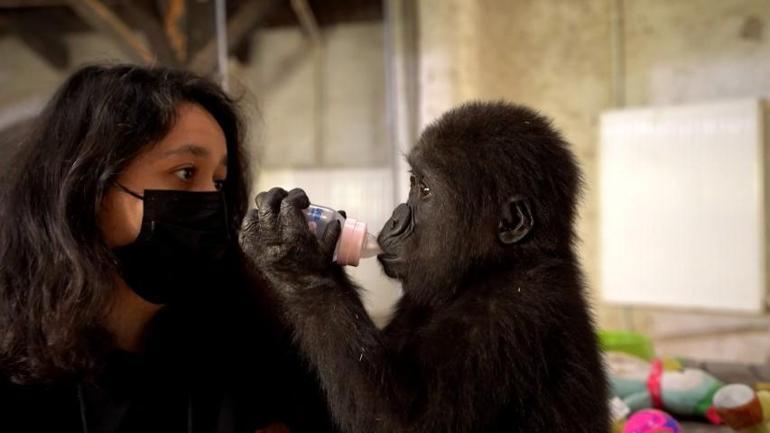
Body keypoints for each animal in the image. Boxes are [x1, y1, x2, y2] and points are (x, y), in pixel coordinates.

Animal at [240, 102, 608, 432]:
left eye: (426, 189)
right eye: (412, 182)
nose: (395, 218)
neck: (494, 267)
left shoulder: (510, 313)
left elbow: (402, 422)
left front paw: (293, 260)